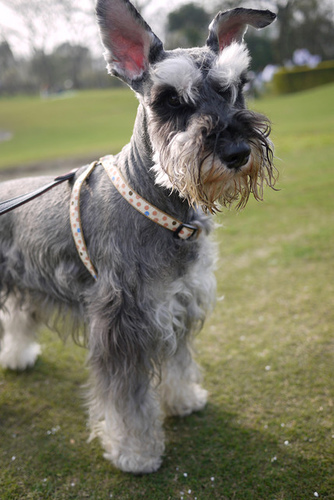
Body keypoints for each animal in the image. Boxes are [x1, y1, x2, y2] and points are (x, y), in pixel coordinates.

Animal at [0, 0, 276, 474]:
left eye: (235, 87)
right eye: (170, 100)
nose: (237, 152)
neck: (160, 204)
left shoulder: (178, 303)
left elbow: (180, 363)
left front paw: (185, 400)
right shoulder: (121, 324)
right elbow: (127, 400)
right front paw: (136, 452)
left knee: (17, 317)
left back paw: (17, 357)